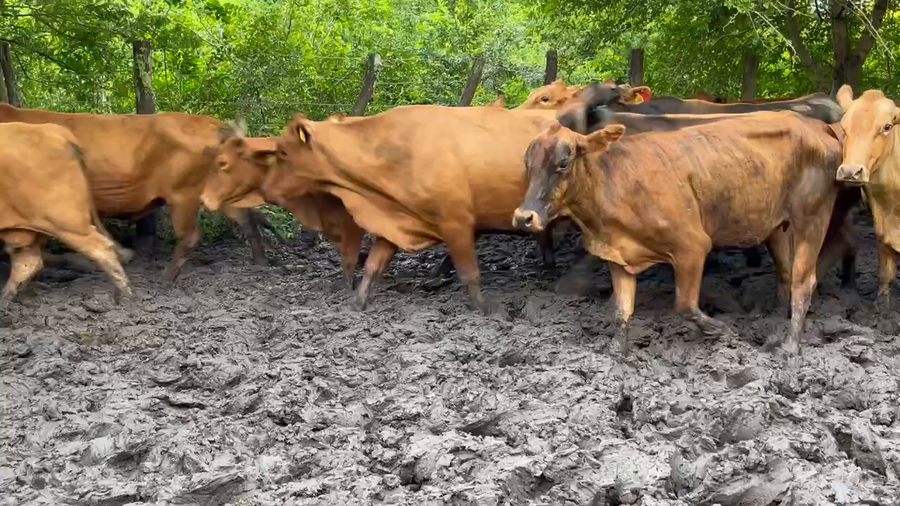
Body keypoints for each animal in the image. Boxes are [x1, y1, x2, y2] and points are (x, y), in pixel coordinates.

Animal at [0, 104, 279, 282]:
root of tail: (216, 125)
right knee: (247, 220)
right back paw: (261, 264)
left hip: (183, 195)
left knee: (190, 236)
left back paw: (165, 279)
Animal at [0, 123, 132, 306]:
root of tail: (56, 130)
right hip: (27, 227)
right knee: (27, 260)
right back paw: (6, 297)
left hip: (66, 221)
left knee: (100, 247)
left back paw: (126, 296)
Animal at [513, 112, 848, 356]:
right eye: (527, 164)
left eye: (563, 163)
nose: (524, 217)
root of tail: (817, 124)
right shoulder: (619, 258)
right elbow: (622, 311)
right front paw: (615, 353)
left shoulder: (692, 246)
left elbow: (684, 305)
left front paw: (724, 331)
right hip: (778, 226)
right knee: (787, 273)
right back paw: (776, 323)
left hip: (812, 217)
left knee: (804, 281)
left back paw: (790, 347)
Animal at [834, 85, 900, 314]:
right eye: (844, 128)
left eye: (887, 127)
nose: (850, 172)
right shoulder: (881, 222)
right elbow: (886, 270)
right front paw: (882, 307)